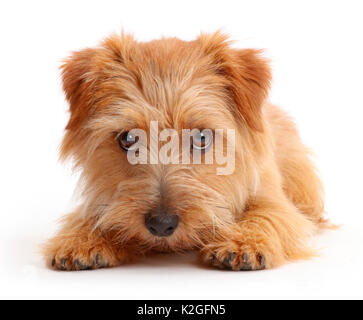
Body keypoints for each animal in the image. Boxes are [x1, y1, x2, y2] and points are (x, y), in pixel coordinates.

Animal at [43, 32, 330, 272]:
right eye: (129, 139)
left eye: (201, 138)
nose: (161, 224)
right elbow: (93, 215)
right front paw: (82, 238)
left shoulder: (273, 198)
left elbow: (267, 214)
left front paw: (243, 242)